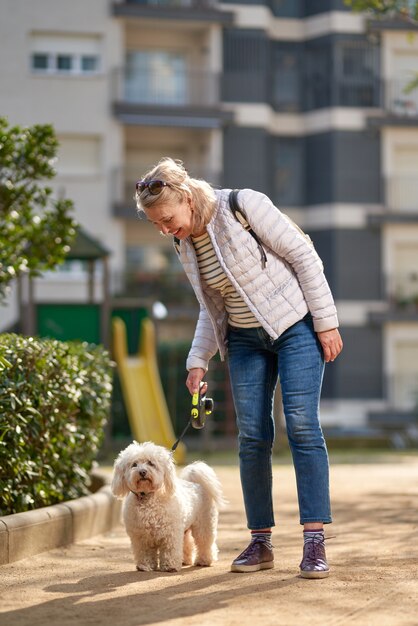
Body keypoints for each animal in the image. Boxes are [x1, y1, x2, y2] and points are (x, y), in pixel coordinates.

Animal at [109, 438, 224, 572]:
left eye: (151, 463)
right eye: (134, 464)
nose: (142, 472)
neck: (148, 497)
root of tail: (196, 484)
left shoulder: (170, 533)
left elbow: (170, 550)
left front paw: (170, 566)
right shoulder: (141, 536)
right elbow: (144, 552)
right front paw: (145, 566)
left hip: (204, 525)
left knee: (205, 543)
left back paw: (204, 560)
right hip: (184, 529)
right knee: (187, 543)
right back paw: (185, 560)